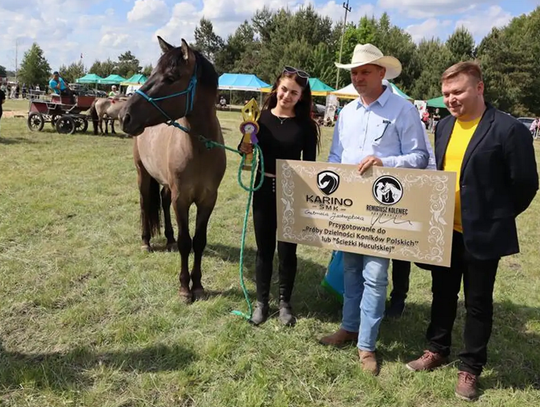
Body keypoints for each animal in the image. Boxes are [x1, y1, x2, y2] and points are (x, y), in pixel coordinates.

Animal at [119, 36, 227, 302]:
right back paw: (146, 242)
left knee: (163, 200)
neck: (199, 149)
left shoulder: (207, 200)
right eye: (151, 74)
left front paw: (198, 285)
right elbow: (185, 241)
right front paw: (184, 289)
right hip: (142, 174)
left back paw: (167, 240)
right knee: (145, 202)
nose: (125, 116)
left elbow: (199, 241)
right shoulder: (182, 199)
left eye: (170, 77)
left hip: (166, 184)